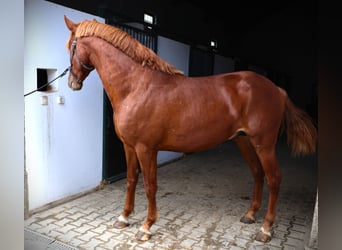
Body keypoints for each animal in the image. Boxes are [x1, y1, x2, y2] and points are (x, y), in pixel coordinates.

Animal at [63, 16, 316, 242]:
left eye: (71, 48)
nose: (72, 83)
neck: (137, 86)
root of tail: (276, 89)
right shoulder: (129, 146)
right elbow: (131, 179)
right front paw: (124, 218)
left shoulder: (146, 149)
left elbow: (150, 185)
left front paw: (146, 227)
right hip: (243, 140)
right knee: (257, 173)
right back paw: (250, 215)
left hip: (264, 144)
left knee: (274, 178)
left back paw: (265, 229)